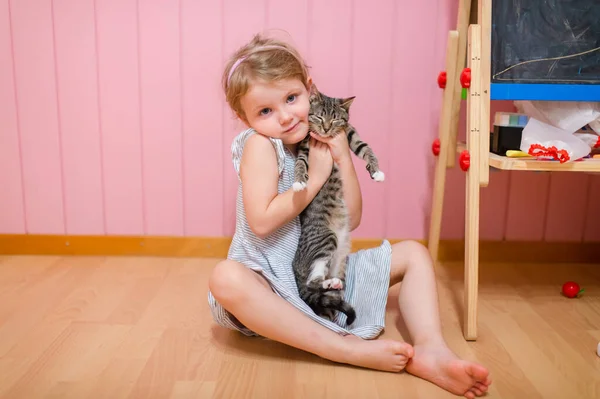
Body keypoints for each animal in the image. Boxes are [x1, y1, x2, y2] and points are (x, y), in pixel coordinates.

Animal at [290, 83, 384, 324]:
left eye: (334, 120)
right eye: (319, 117)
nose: (324, 129)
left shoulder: (349, 131)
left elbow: (365, 148)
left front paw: (376, 171)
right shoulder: (305, 145)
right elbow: (301, 163)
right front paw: (298, 182)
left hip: (341, 262)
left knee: (323, 293)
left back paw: (333, 291)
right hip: (326, 238)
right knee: (311, 283)